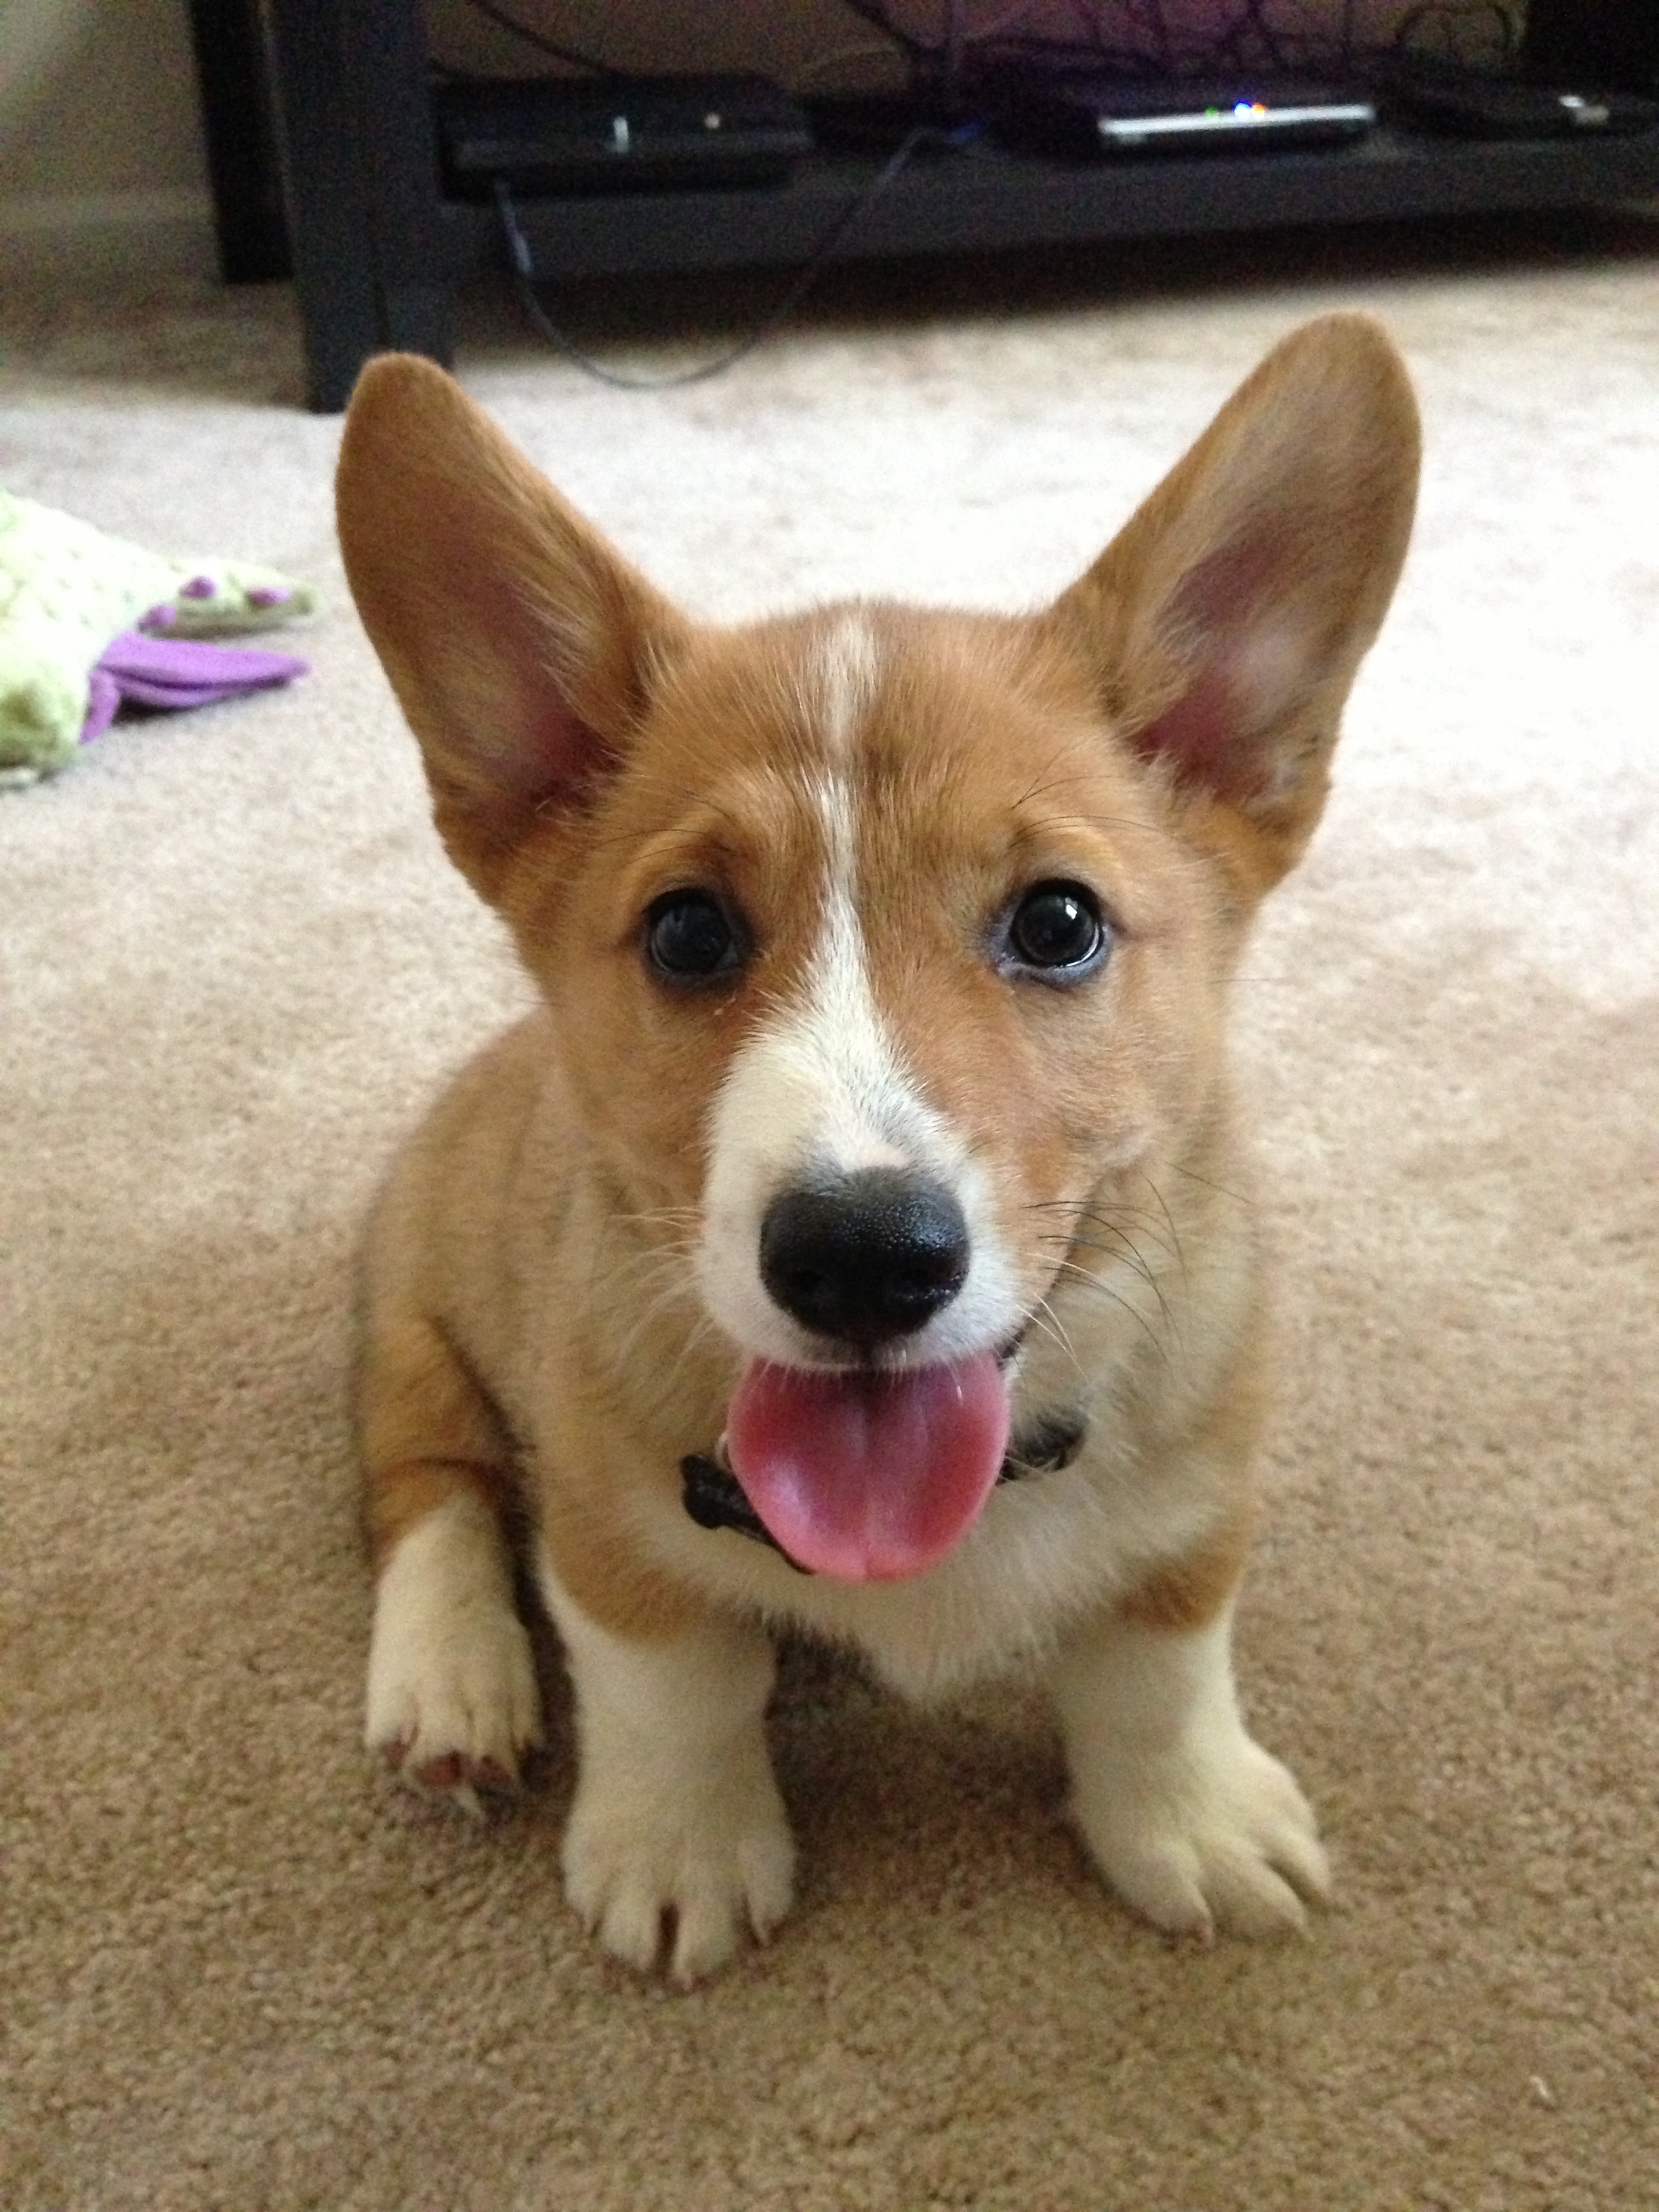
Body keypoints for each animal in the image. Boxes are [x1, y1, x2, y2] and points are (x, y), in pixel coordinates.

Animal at [335, 313, 1419, 1983]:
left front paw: (1189, 1820)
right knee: (426, 1480)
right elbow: (671, 1680)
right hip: (418, 1307)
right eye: (689, 932)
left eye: (1058, 921)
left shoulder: (1203, 1493)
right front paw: (678, 1850)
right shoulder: (607, 1516)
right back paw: (451, 1678)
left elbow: (1157, 1666)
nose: (858, 1257)